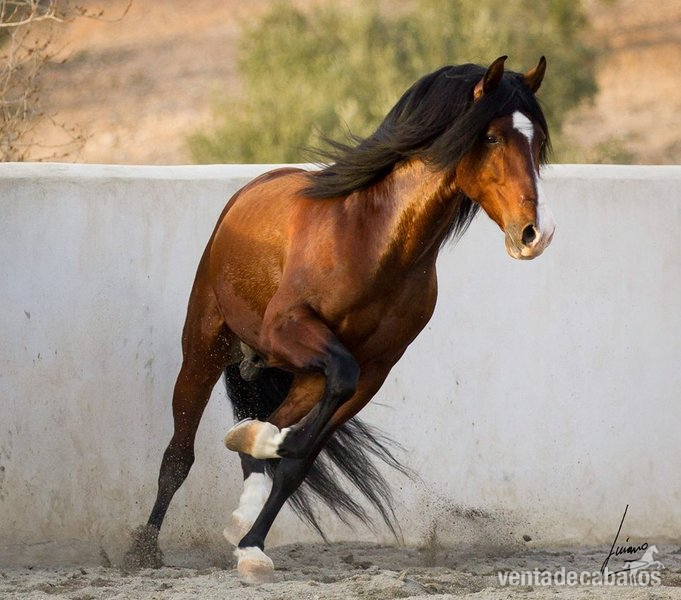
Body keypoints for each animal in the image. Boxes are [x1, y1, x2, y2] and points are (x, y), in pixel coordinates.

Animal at [124, 55, 555, 583]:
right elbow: (294, 432)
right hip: (206, 347)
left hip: (305, 375)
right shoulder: (288, 329)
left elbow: (297, 461)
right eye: (492, 137)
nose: (535, 233)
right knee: (178, 454)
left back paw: (246, 487)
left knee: (263, 436)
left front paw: (252, 547)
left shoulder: (373, 371)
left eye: (537, 140)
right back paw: (144, 549)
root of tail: (248, 192)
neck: (373, 240)